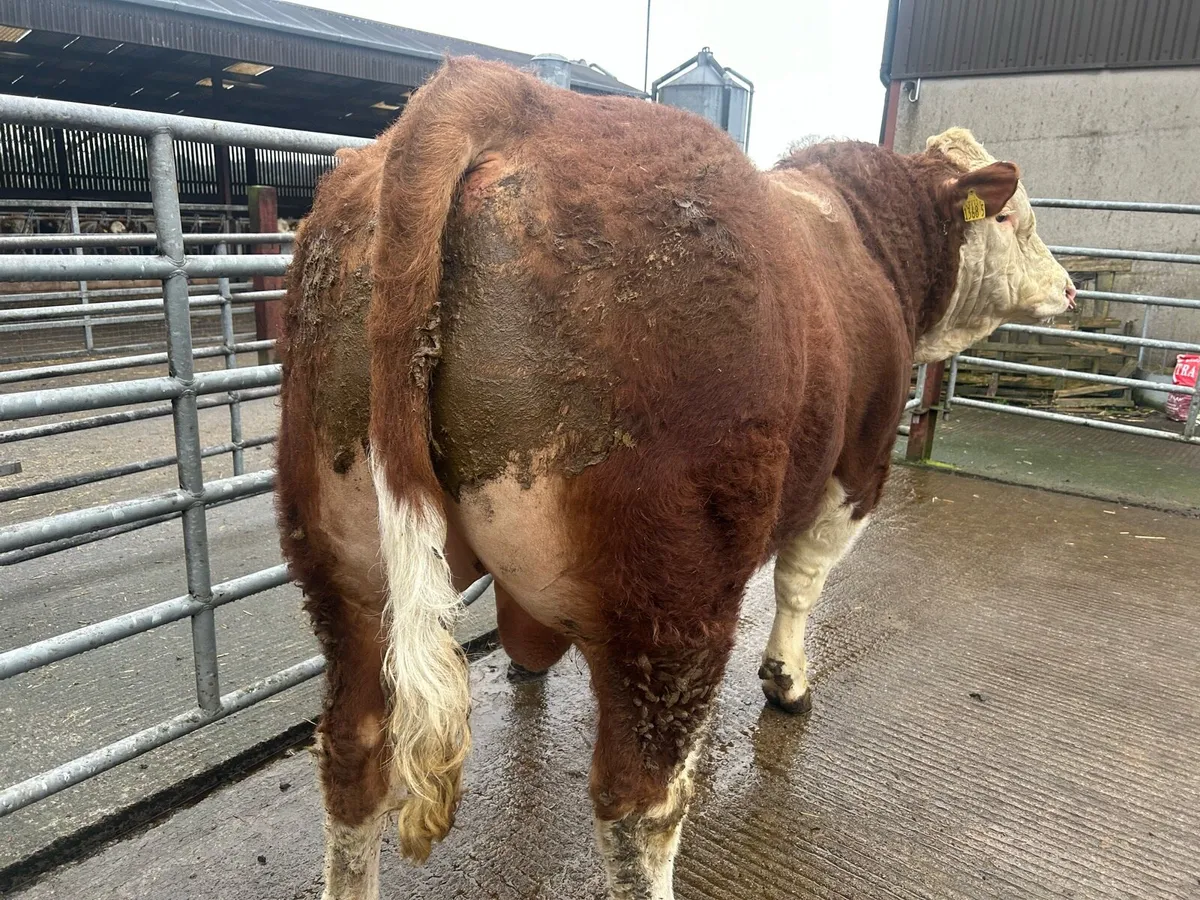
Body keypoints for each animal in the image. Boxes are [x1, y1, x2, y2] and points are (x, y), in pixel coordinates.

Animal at [275, 57, 1074, 900]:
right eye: (1014, 219)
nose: (1069, 288)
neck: (868, 238)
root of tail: (509, 92)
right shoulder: (857, 467)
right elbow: (802, 583)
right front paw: (786, 681)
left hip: (346, 566)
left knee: (354, 754)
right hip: (667, 595)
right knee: (640, 803)